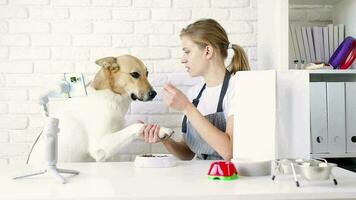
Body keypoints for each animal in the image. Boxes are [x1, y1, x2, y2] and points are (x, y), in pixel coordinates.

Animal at [29, 54, 175, 162]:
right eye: (134, 74)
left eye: (147, 73)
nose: (154, 94)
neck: (112, 95)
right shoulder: (99, 147)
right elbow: (136, 126)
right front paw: (162, 130)